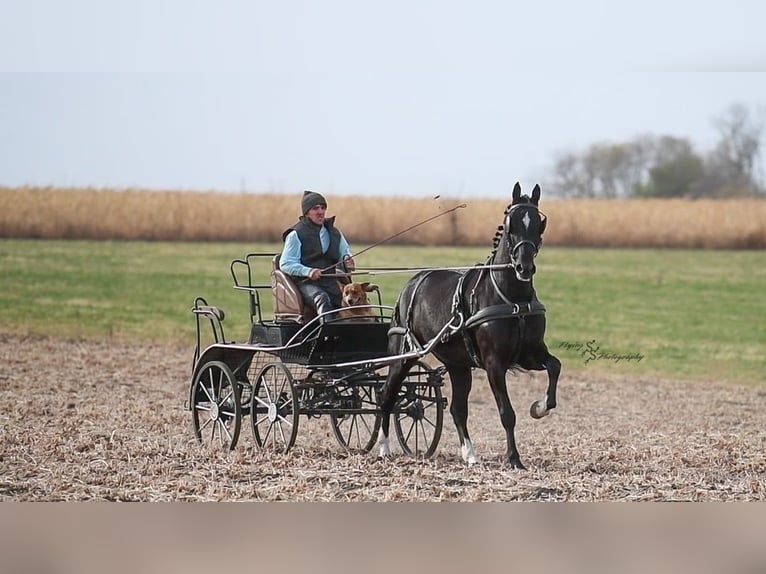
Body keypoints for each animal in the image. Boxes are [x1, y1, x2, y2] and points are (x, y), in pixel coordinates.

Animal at [377, 182, 561, 469]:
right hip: (403, 356)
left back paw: (470, 454)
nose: (524, 267)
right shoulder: (494, 363)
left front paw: (540, 407)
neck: (512, 298)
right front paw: (514, 458)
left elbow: (554, 366)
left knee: (457, 409)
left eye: (538, 223)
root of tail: (413, 282)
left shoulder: (530, 353)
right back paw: (384, 447)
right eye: (511, 224)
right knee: (387, 394)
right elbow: (507, 413)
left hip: (458, 364)